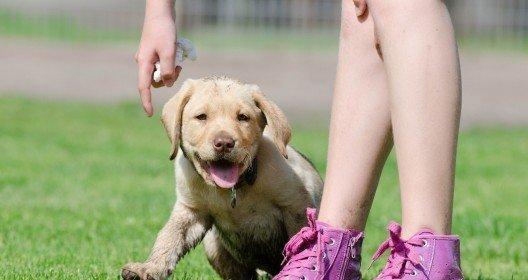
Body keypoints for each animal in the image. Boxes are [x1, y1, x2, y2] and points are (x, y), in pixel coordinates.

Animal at [122, 77, 322, 280]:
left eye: (243, 117)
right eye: (201, 117)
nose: (224, 143)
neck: (232, 189)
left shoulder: (296, 206)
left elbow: (302, 241)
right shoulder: (191, 210)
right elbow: (170, 236)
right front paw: (151, 267)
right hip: (213, 246)